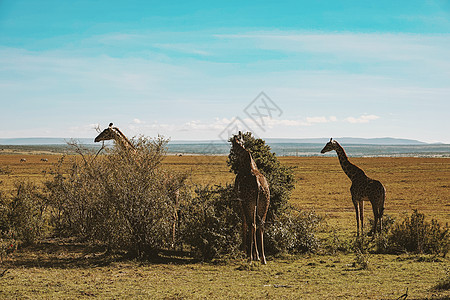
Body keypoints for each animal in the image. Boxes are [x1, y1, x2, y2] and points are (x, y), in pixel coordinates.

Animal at [232, 132, 270, 264]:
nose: (232, 153)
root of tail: (258, 184)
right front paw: (255, 254)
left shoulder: (240, 200)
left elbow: (244, 223)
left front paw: (245, 251)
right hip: (265, 202)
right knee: (261, 225)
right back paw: (263, 258)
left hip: (249, 202)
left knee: (252, 224)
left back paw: (250, 257)